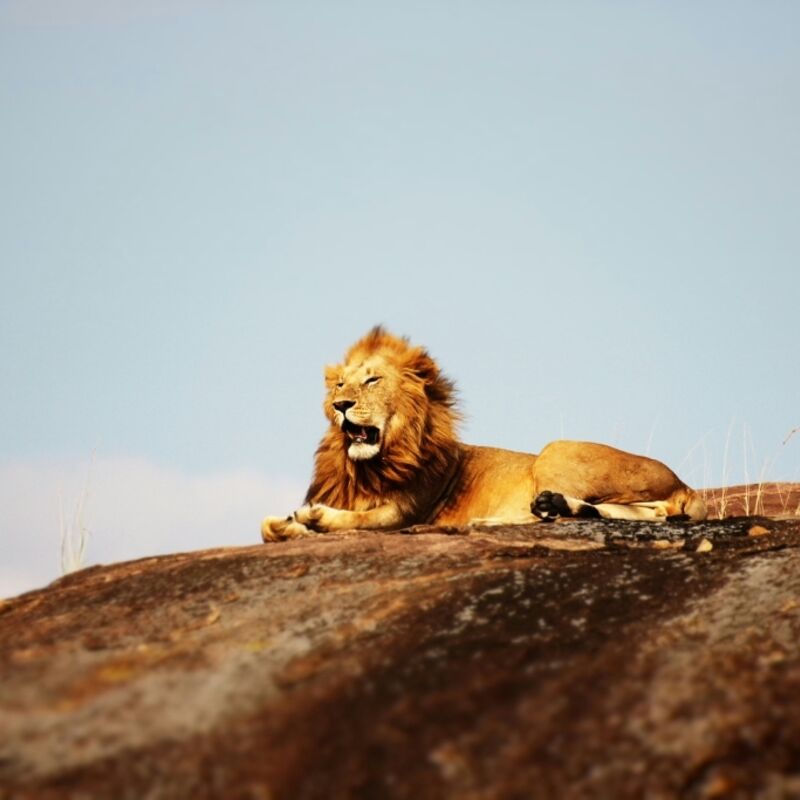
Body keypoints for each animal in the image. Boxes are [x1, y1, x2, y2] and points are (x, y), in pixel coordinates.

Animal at [262, 326, 708, 544]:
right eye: (339, 385)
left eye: (372, 380)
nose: (341, 405)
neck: (368, 466)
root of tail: (685, 484)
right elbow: (267, 526)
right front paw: (289, 525)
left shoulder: (405, 513)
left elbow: (357, 519)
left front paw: (314, 517)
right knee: (641, 513)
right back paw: (545, 508)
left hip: (555, 450)